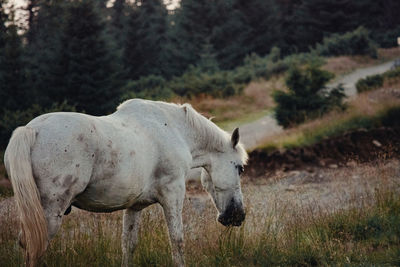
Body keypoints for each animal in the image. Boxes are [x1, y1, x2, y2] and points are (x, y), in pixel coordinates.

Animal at [3, 99, 247, 266]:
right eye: (240, 167)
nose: (237, 216)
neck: (175, 130)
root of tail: (31, 130)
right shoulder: (172, 194)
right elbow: (177, 240)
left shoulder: (134, 206)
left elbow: (128, 244)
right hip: (51, 212)